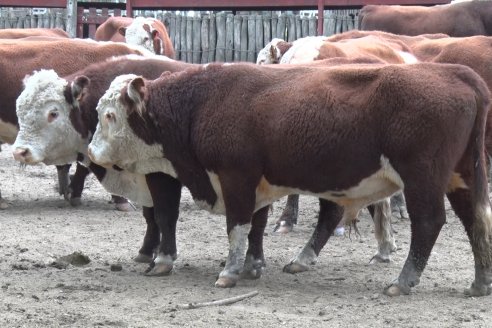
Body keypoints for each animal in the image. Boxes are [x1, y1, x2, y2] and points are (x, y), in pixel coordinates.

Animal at [13, 55, 194, 264]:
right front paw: (147, 250)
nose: (20, 151)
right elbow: (150, 215)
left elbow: (162, 214)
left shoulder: (160, 176)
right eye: (19, 110)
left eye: (53, 113)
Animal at [87, 62, 492, 298]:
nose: (90, 151)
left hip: (423, 176)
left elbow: (237, 225)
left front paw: (229, 272)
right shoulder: (253, 183)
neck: (201, 103)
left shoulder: (236, 177)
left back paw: (403, 281)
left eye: (109, 115)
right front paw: (251, 266)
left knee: (429, 222)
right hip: (462, 177)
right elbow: (254, 226)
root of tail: (458, 73)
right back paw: (480, 281)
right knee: (475, 221)